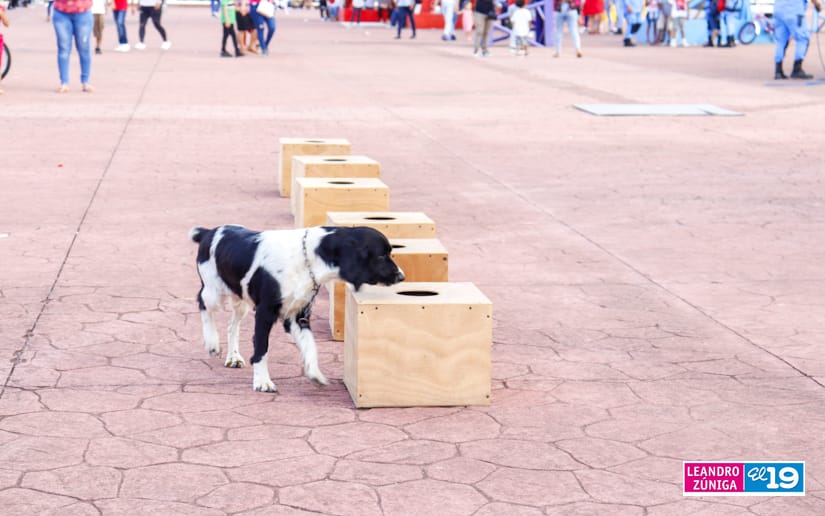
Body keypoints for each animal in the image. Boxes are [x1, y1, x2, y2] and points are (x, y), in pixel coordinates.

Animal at [190, 225, 402, 392]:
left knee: (232, 326)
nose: (401, 276)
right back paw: (212, 342)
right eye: (381, 255)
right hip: (214, 292)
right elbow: (262, 349)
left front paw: (315, 373)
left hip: (241, 300)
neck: (308, 258)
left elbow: (310, 345)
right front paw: (262, 382)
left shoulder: (297, 316)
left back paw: (233, 357)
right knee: (202, 302)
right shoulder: (265, 312)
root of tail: (209, 232)